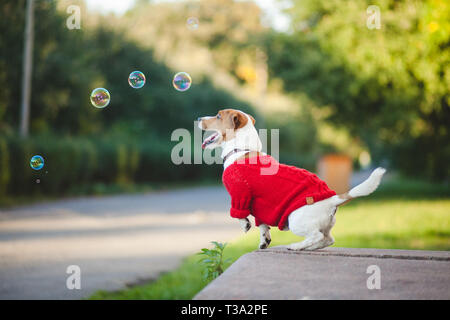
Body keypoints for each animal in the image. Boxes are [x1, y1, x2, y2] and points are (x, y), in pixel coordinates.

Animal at [195, 109, 384, 251]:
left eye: (218, 116)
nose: (198, 118)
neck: (242, 149)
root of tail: (333, 199)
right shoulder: (259, 209)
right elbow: (262, 226)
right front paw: (264, 242)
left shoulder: (240, 195)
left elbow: (239, 214)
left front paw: (245, 225)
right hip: (324, 227)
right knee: (328, 239)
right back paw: (305, 247)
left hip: (295, 221)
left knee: (317, 236)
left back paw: (296, 246)